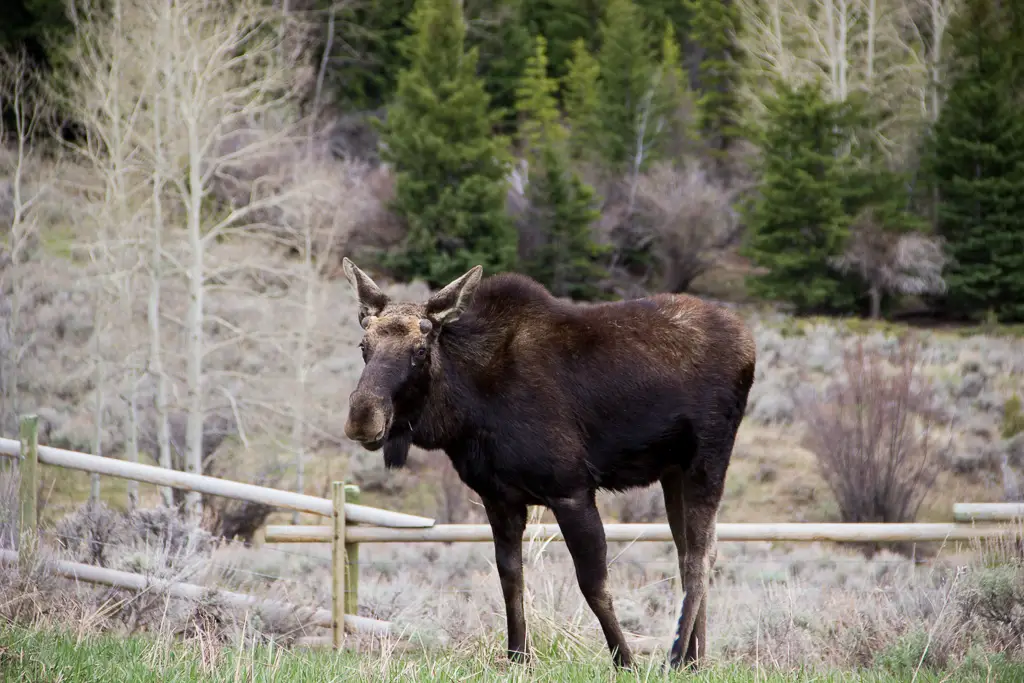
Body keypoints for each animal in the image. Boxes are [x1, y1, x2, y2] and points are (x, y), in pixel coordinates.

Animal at [339, 259, 757, 671]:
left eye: (421, 350)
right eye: (363, 346)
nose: (362, 416)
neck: (465, 411)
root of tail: (748, 342)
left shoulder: (571, 490)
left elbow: (593, 584)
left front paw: (625, 662)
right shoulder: (499, 499)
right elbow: (511, 579)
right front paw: (517, 658)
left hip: (708, 459)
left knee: (699, 558)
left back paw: (675, 657)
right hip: (673, 471)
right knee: (691, 551)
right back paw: (693, 660)